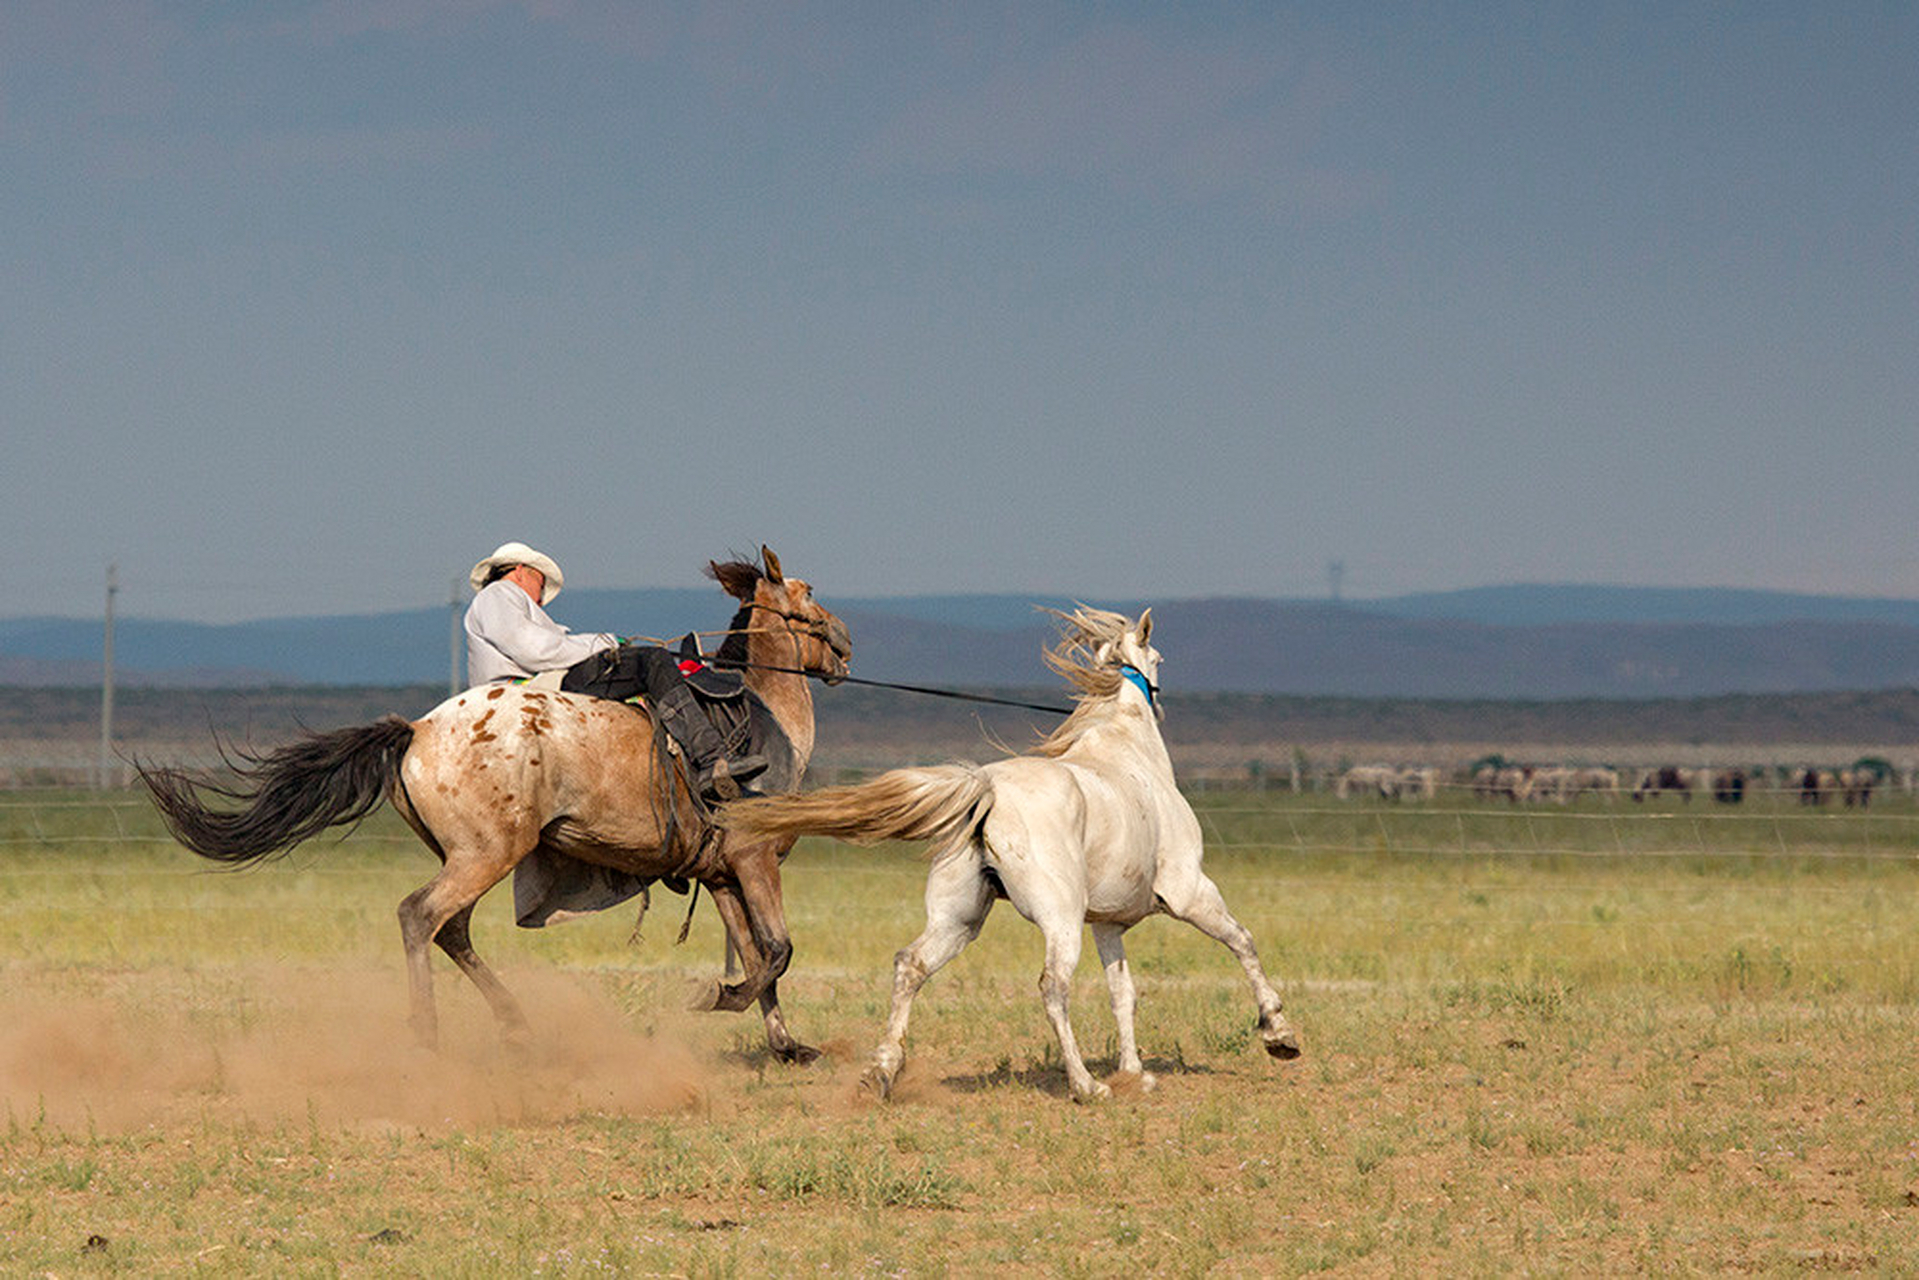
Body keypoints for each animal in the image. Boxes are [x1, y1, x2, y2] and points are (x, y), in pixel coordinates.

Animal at [142, 548, 848, 1059]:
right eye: (810, 591)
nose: (844, 644)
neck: (762, 716)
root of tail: (417, 732)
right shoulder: (756, 860)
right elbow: (777, 951)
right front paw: (718, 1000)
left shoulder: (723, 872)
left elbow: (759, 956)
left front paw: (787, 1046)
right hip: (486, 854)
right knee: (419, 916)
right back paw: (427, 1033)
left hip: (468, 856)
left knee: (451, 929)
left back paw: (515, 1022)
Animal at [721, 610, 1304, 1105]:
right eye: (1158, 657)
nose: (1161, 701)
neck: (1130, 755)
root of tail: (988, 790)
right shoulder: (1189, 892)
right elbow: (1243, 943)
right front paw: (1278, 1035)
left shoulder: (1108, 924)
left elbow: (1123, 993)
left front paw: (1136, 1072)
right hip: (1059, 918)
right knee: (1053, 986)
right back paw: (1085, 1086)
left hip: (960, 920)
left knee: (910, 965)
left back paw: (880, 1074)